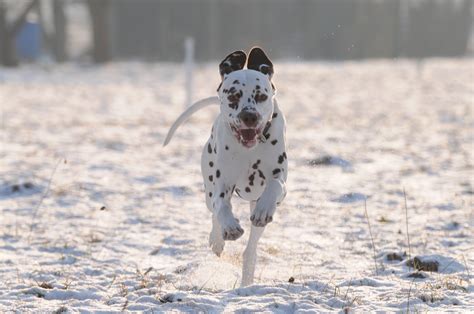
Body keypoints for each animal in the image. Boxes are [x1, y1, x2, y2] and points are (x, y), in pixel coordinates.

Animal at [163, 47, 288, 288]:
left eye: (261, 96)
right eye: (233, 96)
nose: (249, 116)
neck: (249, 150)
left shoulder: (280, 182)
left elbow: (275, 185)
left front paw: (264, 209)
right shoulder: (221, 185)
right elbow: (221, 207)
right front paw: (228, 228)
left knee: (251, 249)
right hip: (208, 185)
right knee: (213, 210)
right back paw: (217, 239)